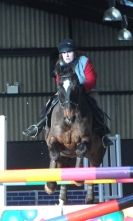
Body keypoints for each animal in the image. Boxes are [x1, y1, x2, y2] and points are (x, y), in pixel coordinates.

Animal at [44, 65, 106, 205]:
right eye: (59, 86)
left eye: (76, 86)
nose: (69, 114)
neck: (69, 121)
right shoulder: (52, 139)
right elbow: (54, 154)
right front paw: (50, 186)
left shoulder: (86, 139)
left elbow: (80, 151)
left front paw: (78, 179)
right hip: (65, 156)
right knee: (62, 165)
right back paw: (62, 197)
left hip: (97, 154)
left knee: (92, 169)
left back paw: (89, 199)